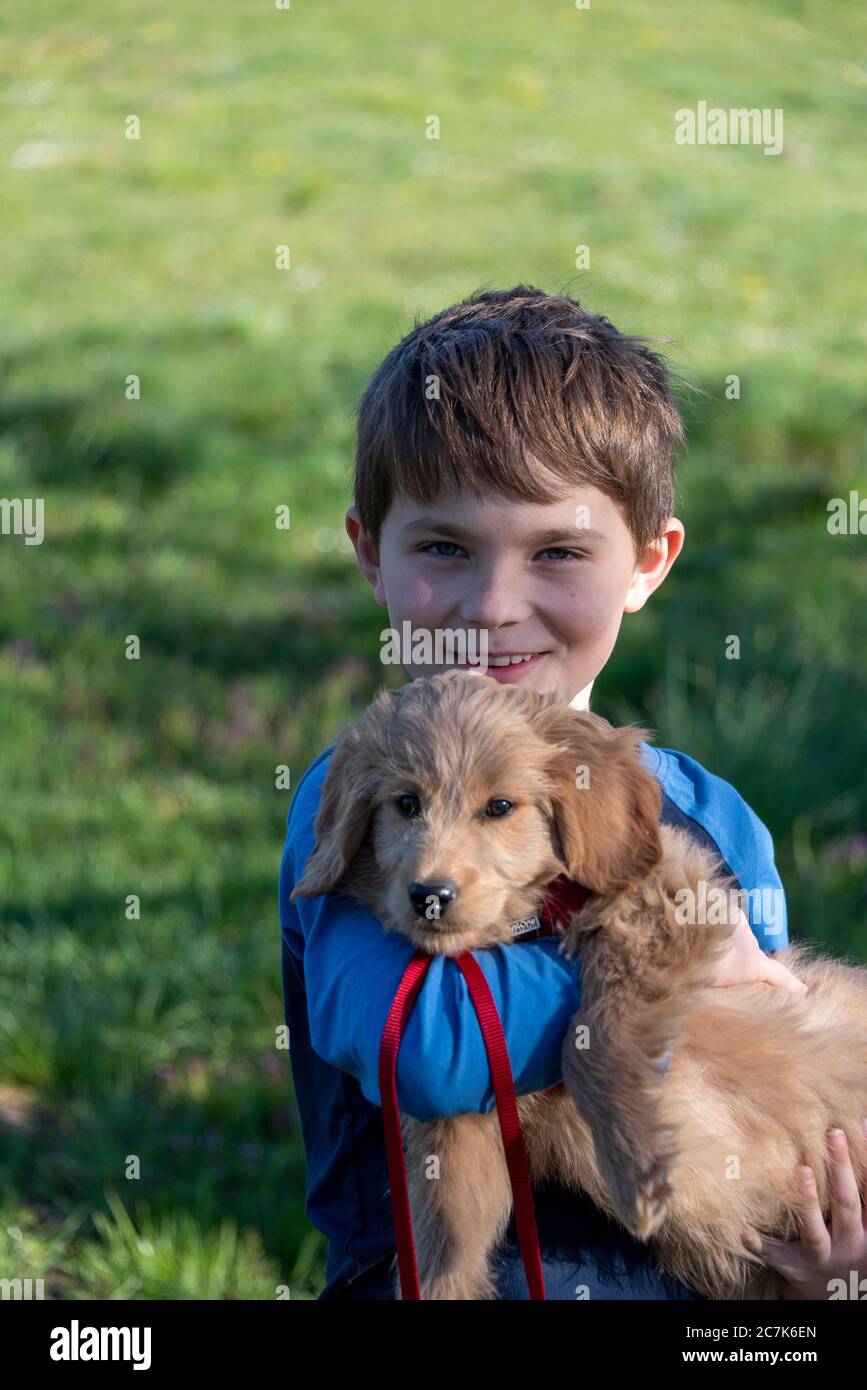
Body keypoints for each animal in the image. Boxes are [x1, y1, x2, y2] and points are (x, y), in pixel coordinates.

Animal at [291, 667, 867, 1295]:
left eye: (500, 806)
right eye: (406, 804)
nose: (430, 896)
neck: (526, 925)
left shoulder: (673, 898)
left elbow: (590, 1039)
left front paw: (636, 1159)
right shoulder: (458, 1115)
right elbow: (442, 1236)